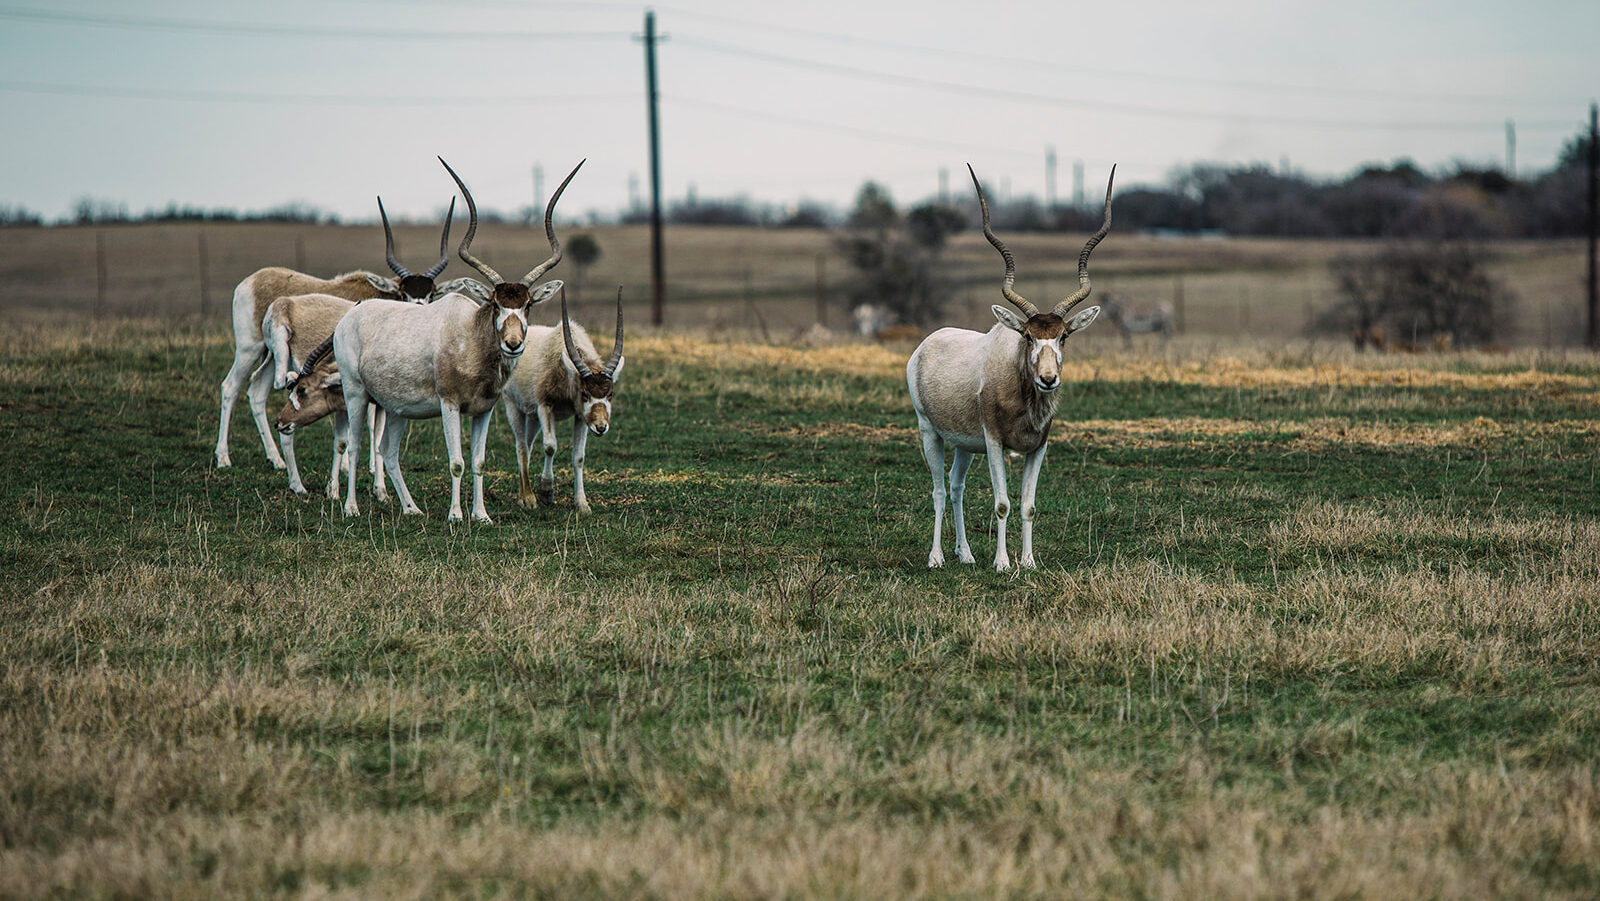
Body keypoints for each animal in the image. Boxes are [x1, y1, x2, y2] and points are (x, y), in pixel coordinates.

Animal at [216, 204, 483, 473]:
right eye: (403, 293)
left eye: (431, 295)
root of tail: (249, 283)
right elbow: (367, 421)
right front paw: (368, 467)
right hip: (250, 348)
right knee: (233, 386)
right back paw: (223, 458)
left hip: (270, 355)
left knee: (257, 392)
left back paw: (277, 460)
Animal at [331, 155, 582, 521]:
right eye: (495, 304)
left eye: (528, 305)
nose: (513, 343)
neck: (471, 339)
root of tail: (349, 318)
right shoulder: (449, 405)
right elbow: (457, 462)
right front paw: (456, 515)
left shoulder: (484, 411)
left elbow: (478, 462)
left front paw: (481, 515)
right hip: (356, 393)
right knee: (356, 444)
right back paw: (350, 507)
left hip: (395, 407)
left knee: (388, 452)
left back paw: (411, 509)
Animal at [502, 289, 620, 515]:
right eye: (585, 394)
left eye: (610, 394)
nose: (601, 427)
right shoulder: (545, 406)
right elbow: (550, 446)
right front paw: (546, 492)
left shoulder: (581, 417)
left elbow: (579, 456)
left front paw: (582, 504)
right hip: (514, 407)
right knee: (521, 447)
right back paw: (527, 499)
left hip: (533, 417)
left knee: (528, 445)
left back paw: (524, 494)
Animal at [908, 163, 1120, 569]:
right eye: (1028, 336)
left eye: (1063, 336)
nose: (1048, 379)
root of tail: (926, 345)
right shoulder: (994, 442)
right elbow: (1003, 503)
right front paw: (1003, 563)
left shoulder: (1038, 446)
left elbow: (1028, 506)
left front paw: (1029, 562)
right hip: (930, 432)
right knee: (939, 490)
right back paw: (937, 557)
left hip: (964, 444)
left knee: (956, 486)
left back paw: (965, 554)